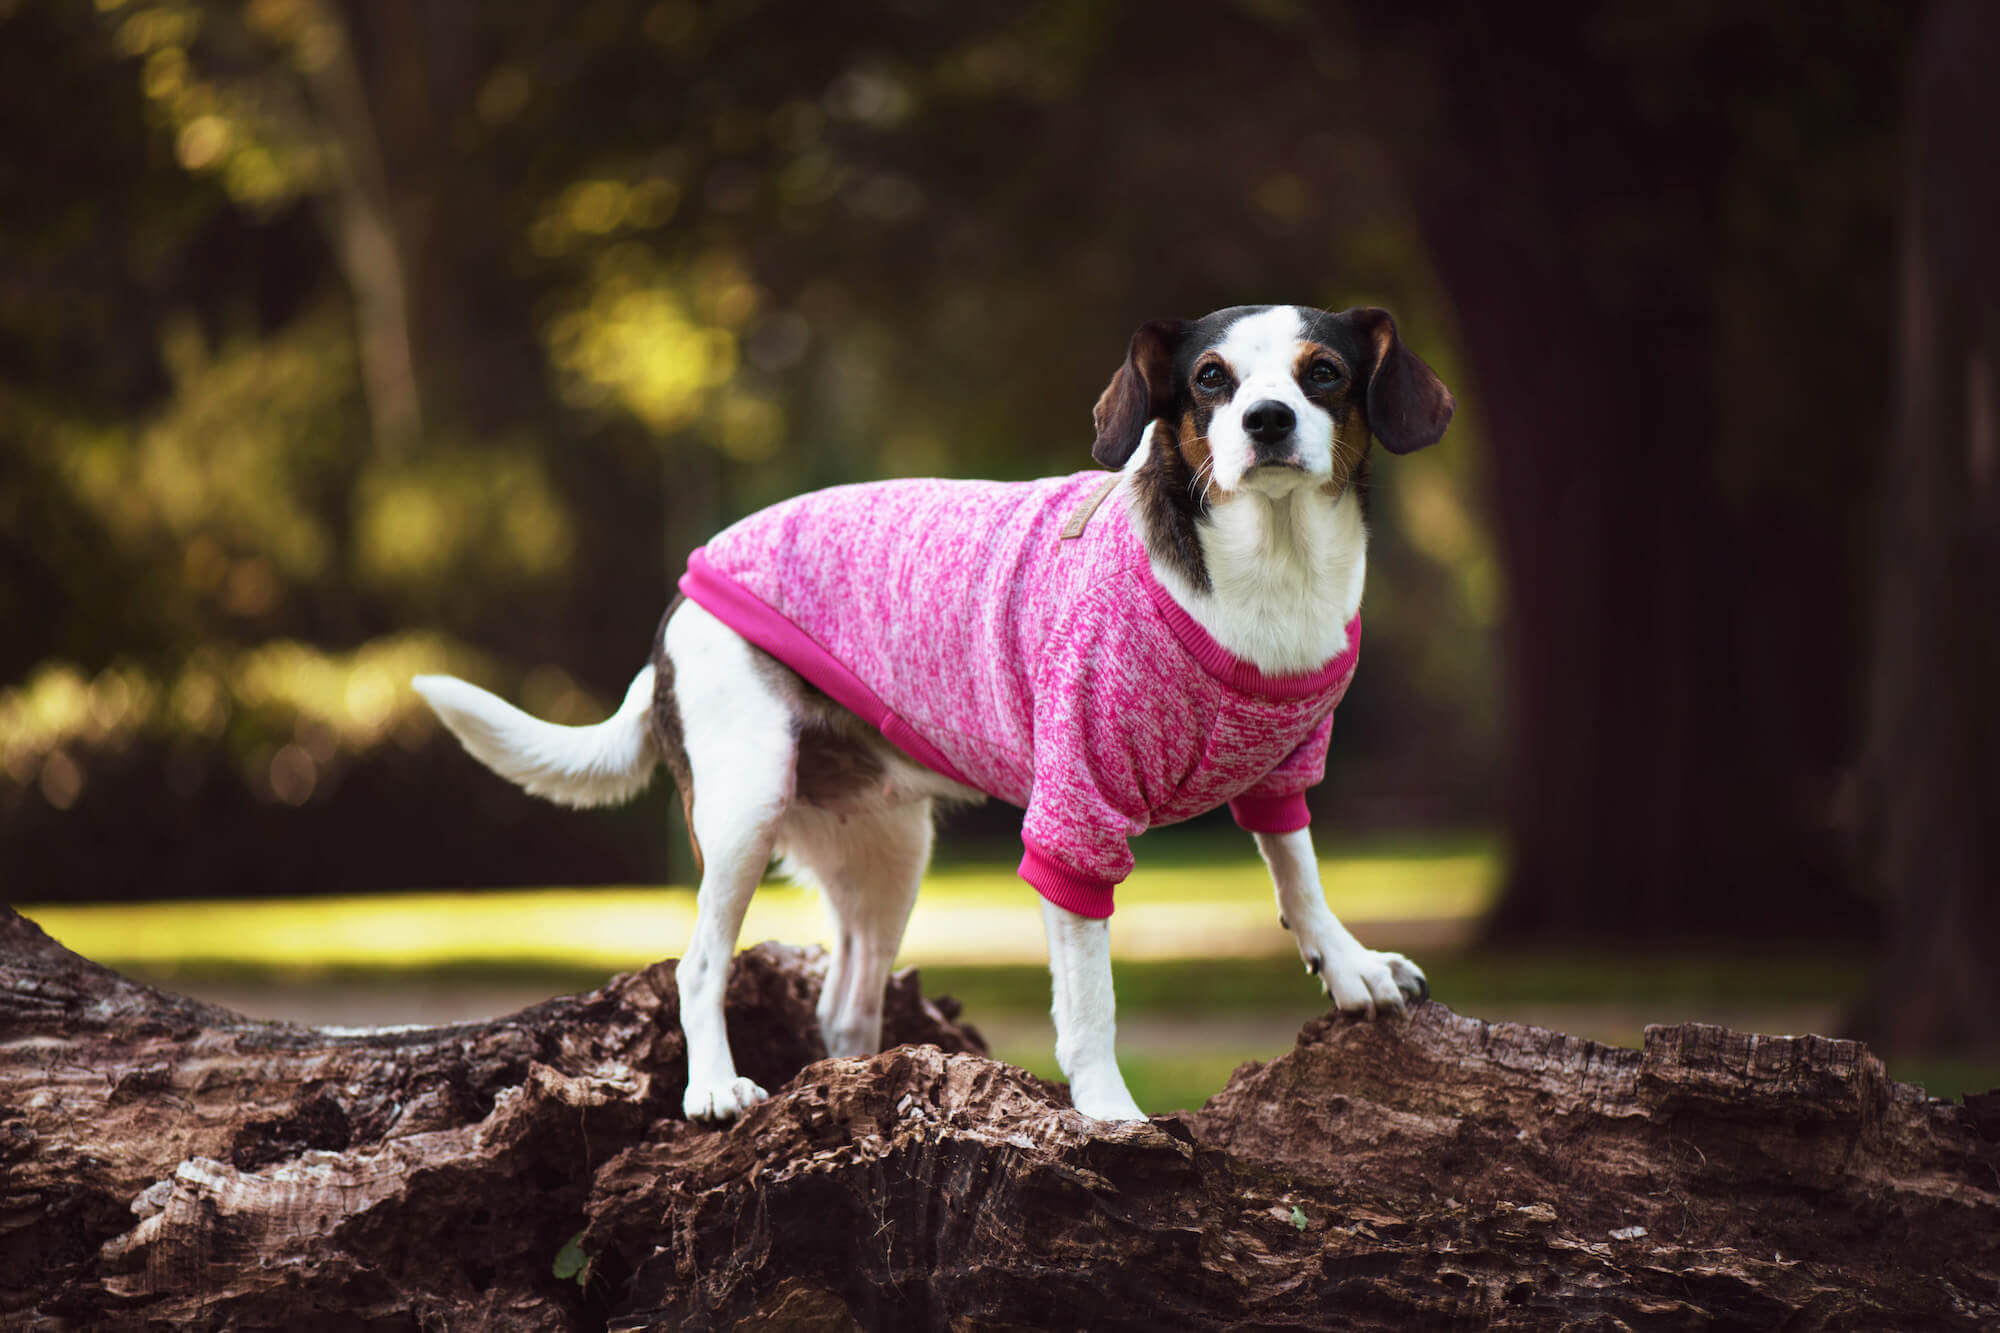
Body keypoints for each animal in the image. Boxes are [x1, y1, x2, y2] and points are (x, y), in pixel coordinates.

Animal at [418, 304, 1456, 1120]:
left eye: (1324, 372)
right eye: (1210, 378)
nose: (1268, 418)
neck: (1265, 576)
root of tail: (679, 605)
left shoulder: (1285, 768)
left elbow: (1299, 874)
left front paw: (1348, 962)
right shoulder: (1074, 823)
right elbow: (1091, 1004)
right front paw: (1110, 1112)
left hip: (887, 856)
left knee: (842, 1003)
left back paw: (859, 1082)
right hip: (745, 802)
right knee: (699, 963)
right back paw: (715, 1086)